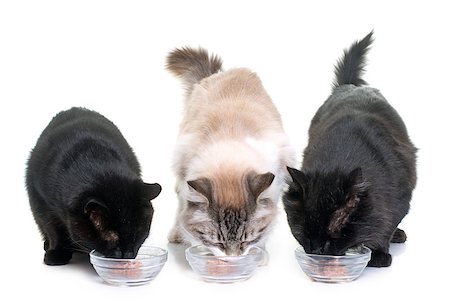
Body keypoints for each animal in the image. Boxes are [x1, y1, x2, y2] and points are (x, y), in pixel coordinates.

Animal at [25, 108, 161, 264]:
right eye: (111, 237)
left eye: (138, 233)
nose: (128, 254)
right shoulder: (41, 202)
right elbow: (53, 230)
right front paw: (56, 254)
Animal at [284, 32, 416, 268]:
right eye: (302, 229)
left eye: (335, 230)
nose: (316, 249)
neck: (338, 161)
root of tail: (349, 86)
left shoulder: (400, 196)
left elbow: (386, 224)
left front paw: (378, 255)